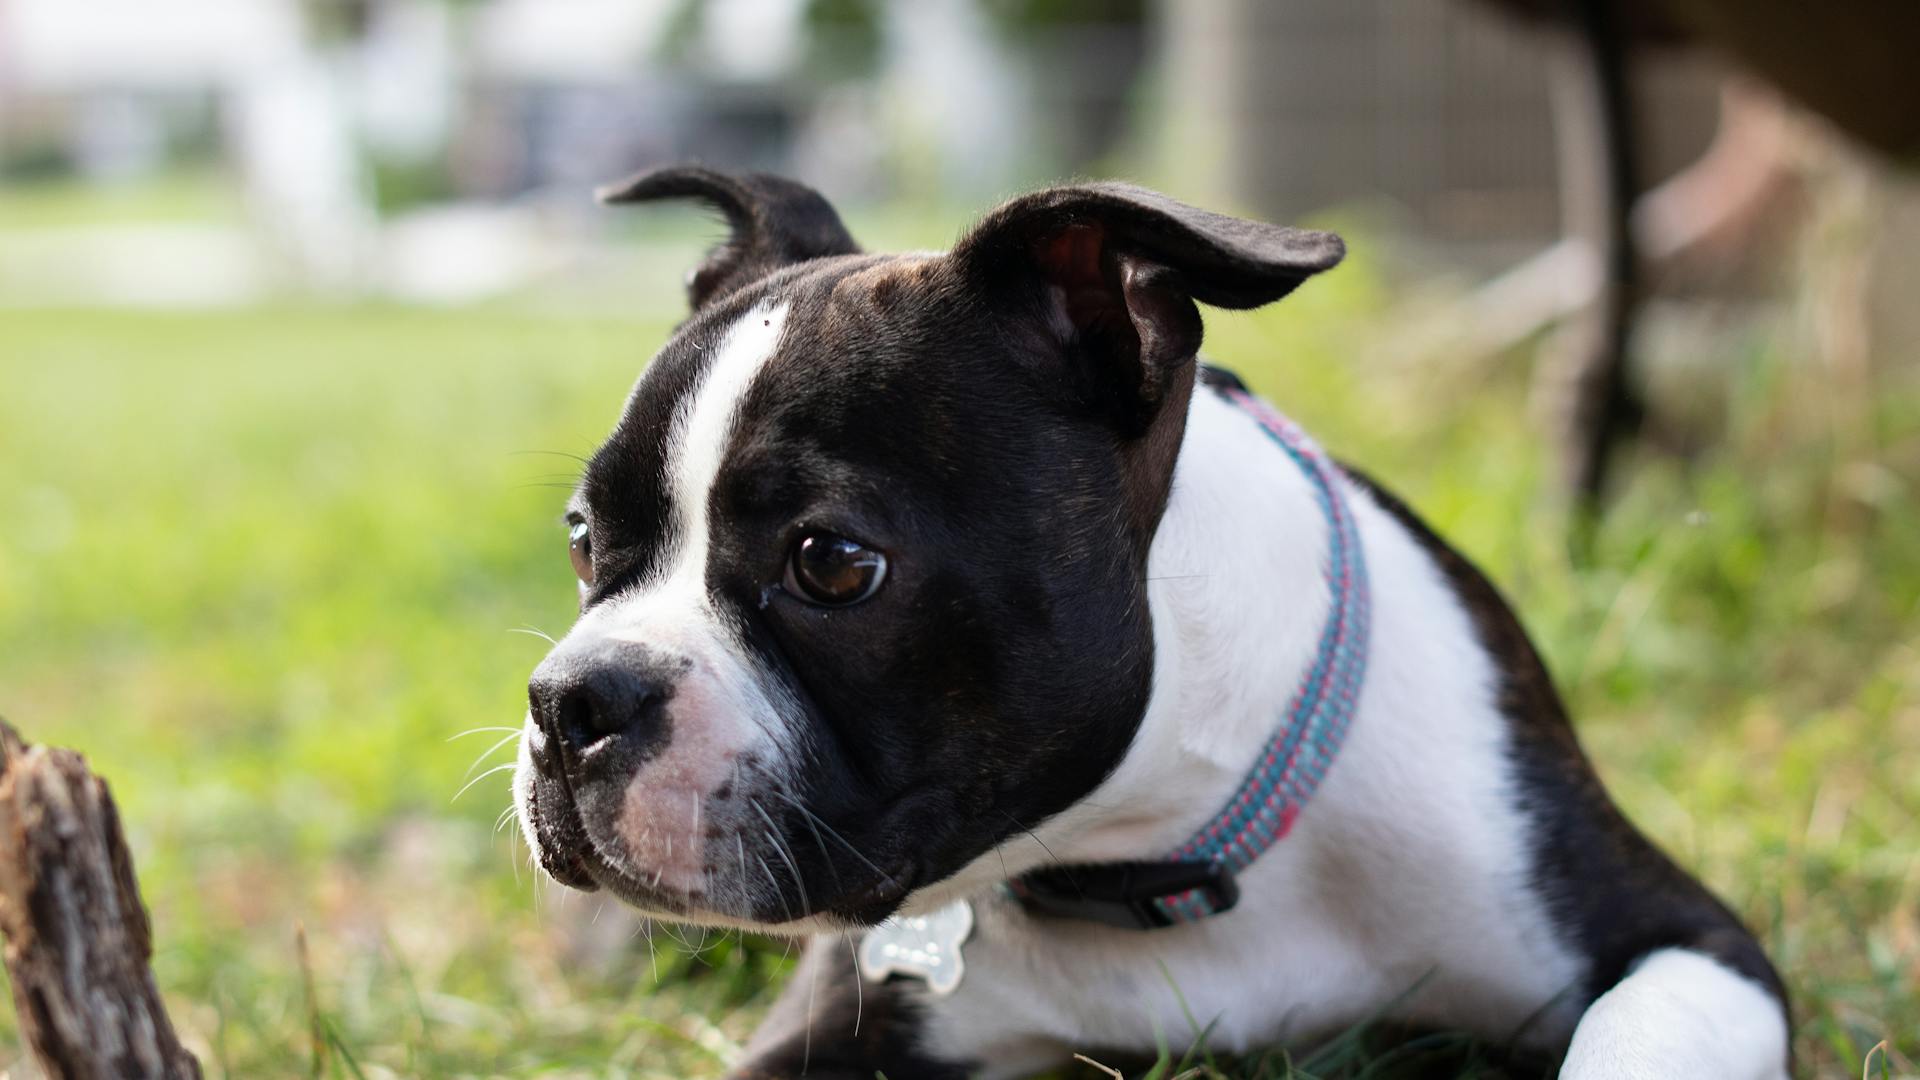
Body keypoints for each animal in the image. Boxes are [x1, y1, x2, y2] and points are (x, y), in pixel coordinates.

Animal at [506, 164, 1781, 1068]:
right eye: (580, 537)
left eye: (832, 564)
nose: (572, 701)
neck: (1148, 847)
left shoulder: (1688, 943)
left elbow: (1626, 1042)